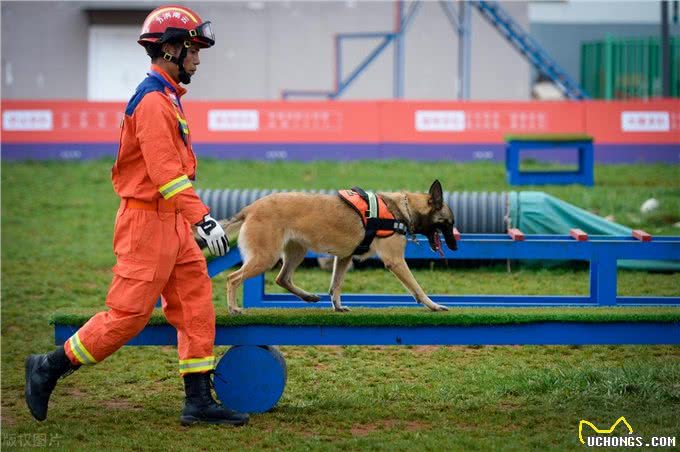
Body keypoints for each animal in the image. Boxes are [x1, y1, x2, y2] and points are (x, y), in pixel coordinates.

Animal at [210, 180, 460, 314]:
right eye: (449, 223)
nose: (455, 246)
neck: (402, 209)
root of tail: (250, 208)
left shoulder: (344, 258)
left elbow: (335, 286)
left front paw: (337, 307)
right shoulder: (396, 261)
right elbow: (417, 288)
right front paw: (433, 305)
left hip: (296, 252)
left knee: (282, 278)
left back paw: (308, 297)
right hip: (265, 257)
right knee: (233, 278)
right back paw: (233, 308)